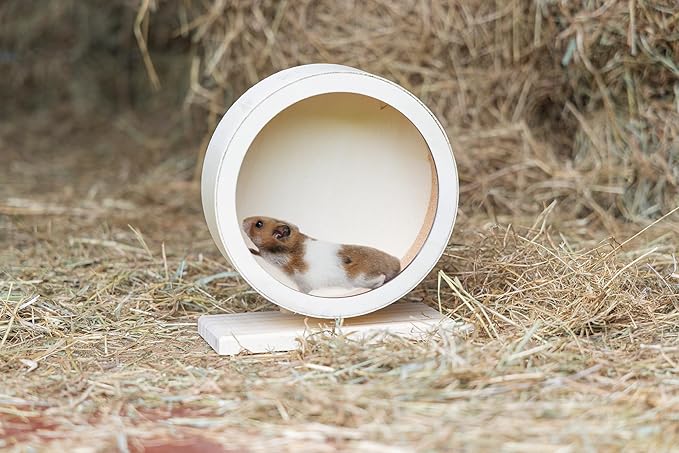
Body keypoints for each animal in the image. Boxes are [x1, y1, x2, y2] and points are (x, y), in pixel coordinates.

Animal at [242, 216, 401, 294]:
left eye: (259, 224)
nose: (243, 220)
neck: (292, 246)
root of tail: (397, 263)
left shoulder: (275, 259)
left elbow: (261, 253)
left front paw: (250, 249)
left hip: (363, 278)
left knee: (380, 278)